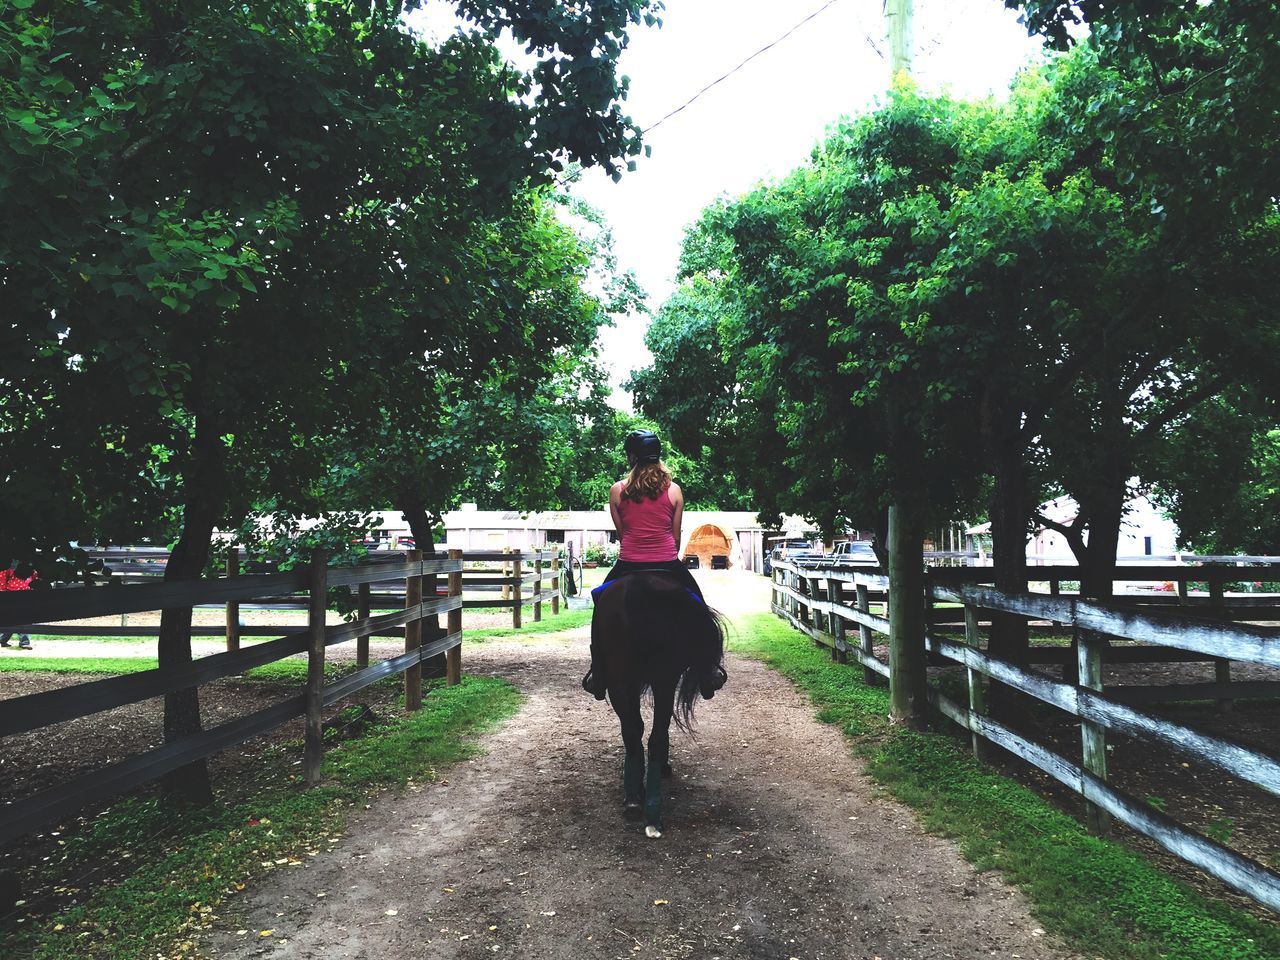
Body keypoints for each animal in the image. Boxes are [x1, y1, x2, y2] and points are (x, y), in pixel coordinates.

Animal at [586, 576, 721, 839]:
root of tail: (638, 586)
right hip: (658, 679)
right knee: (649, 734)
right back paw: (648, 808)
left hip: (624, 680)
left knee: (634, 732)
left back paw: (637, 801)